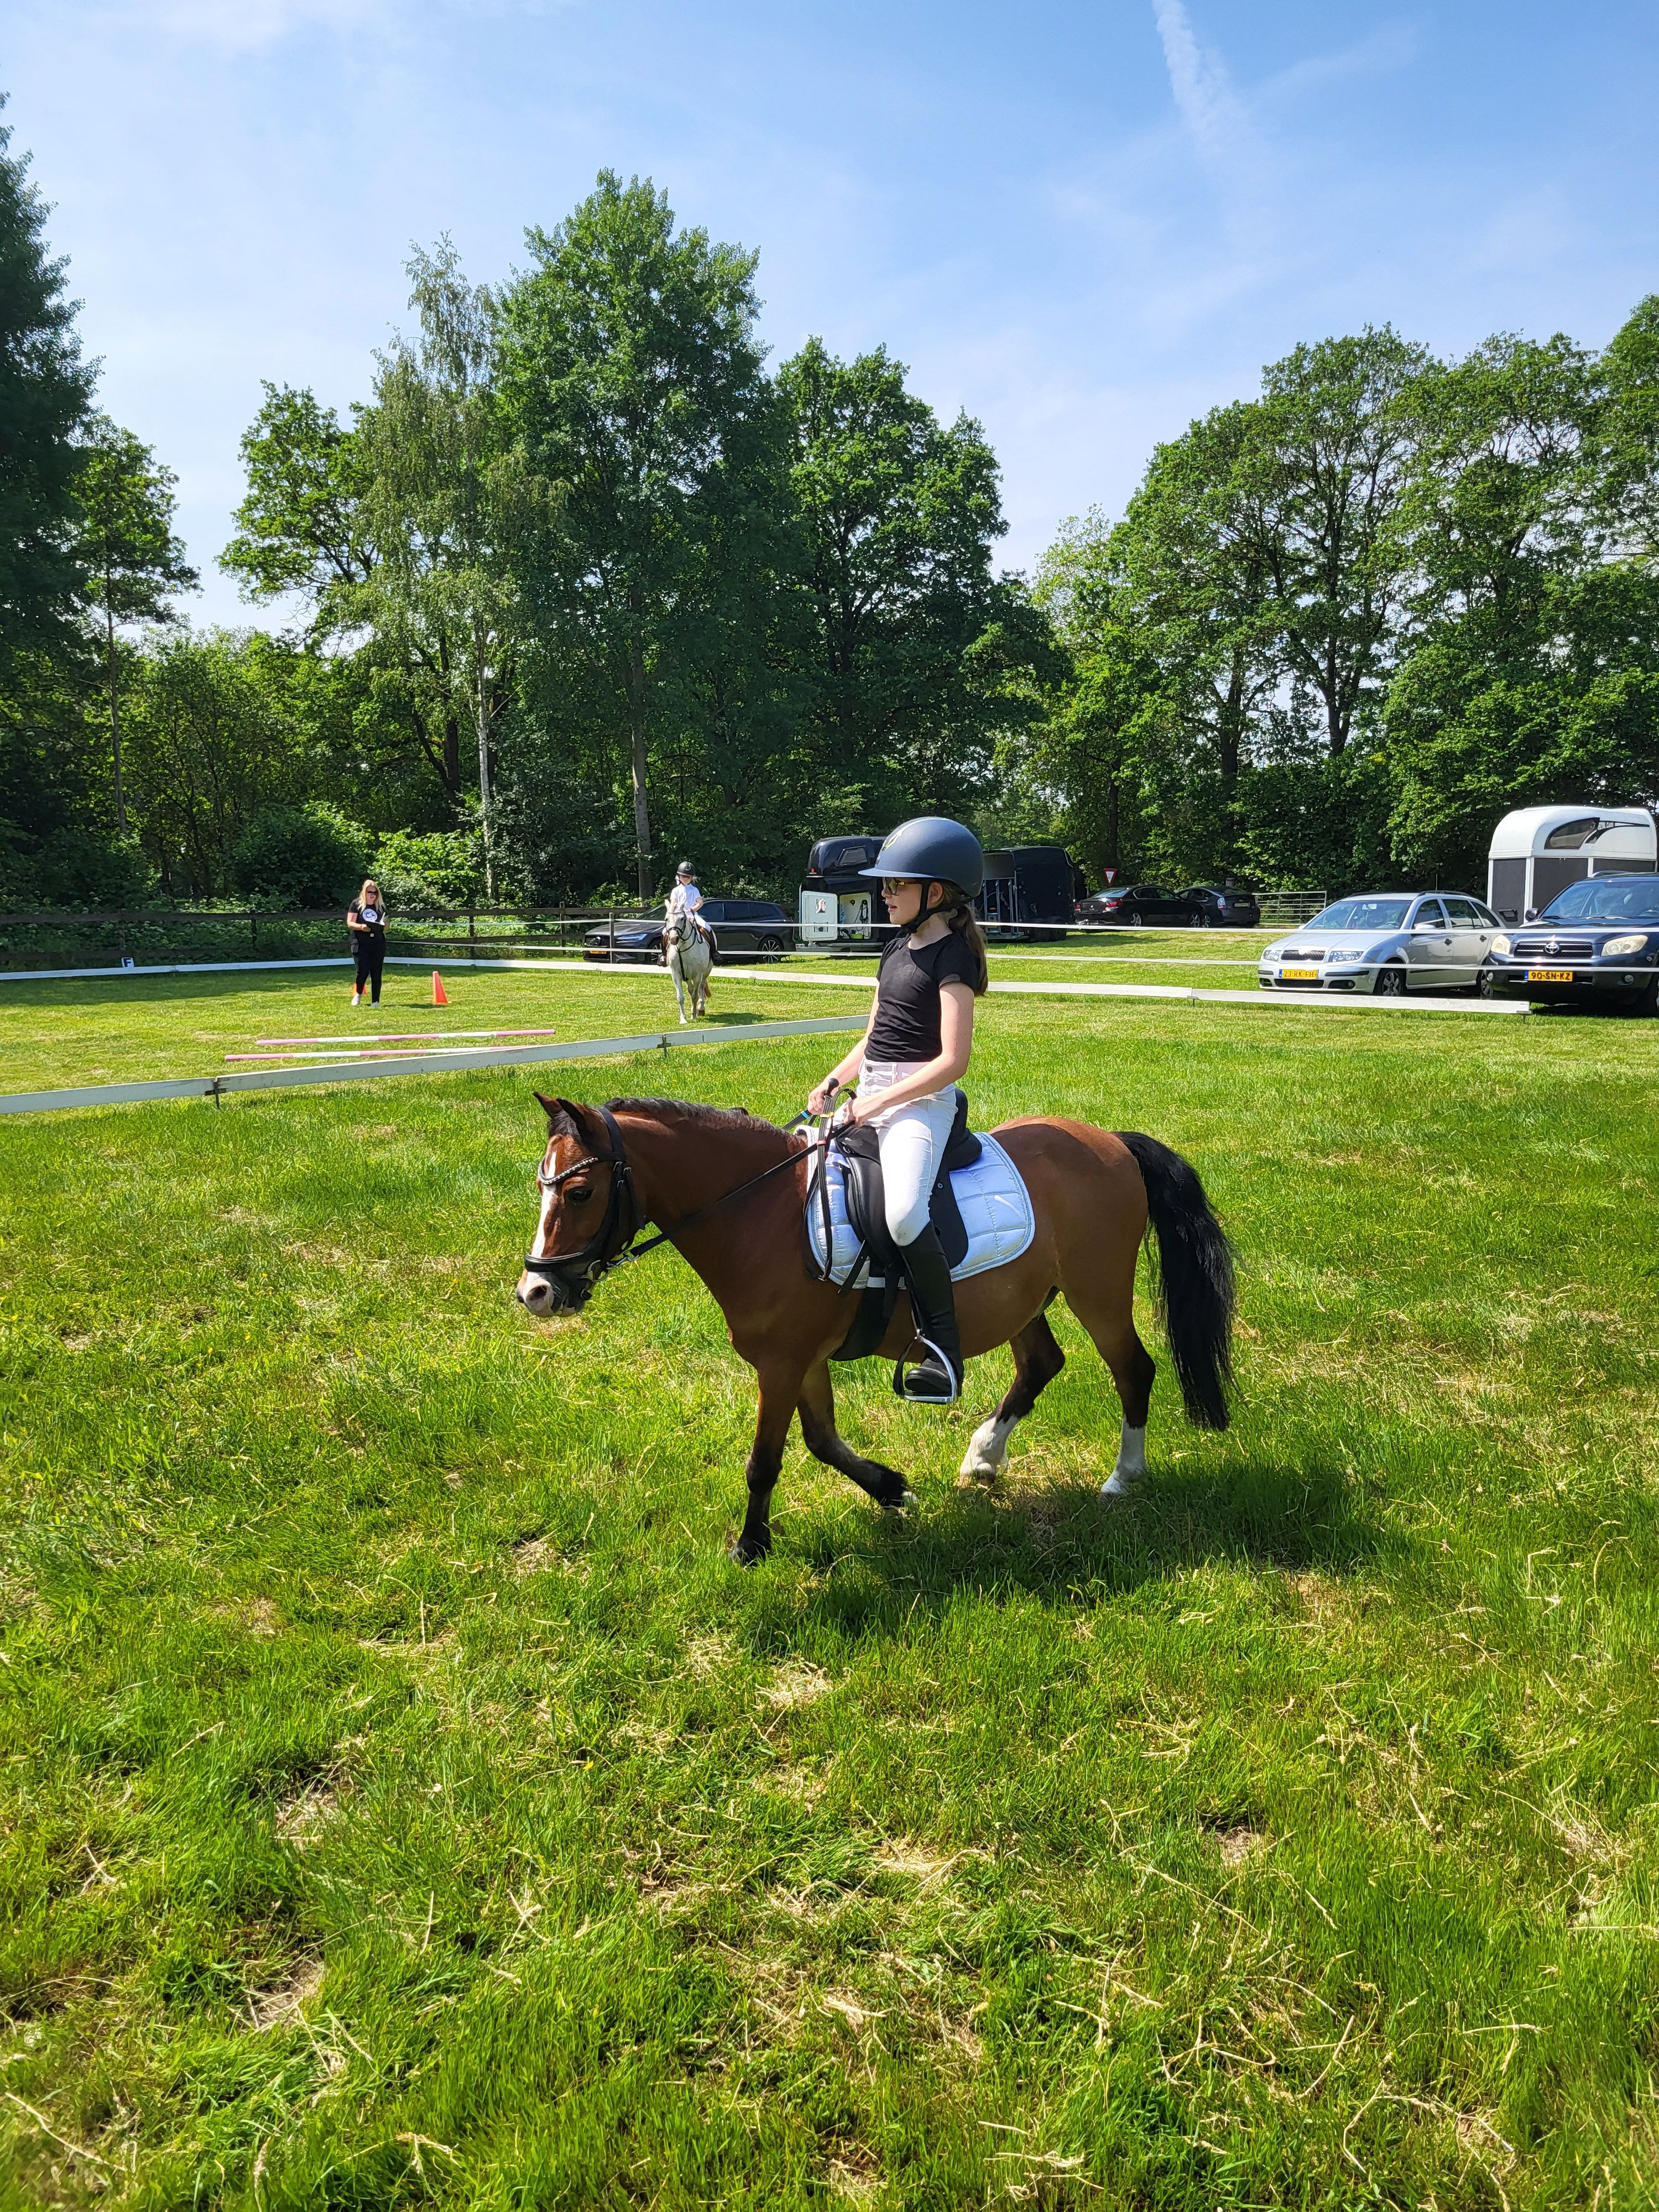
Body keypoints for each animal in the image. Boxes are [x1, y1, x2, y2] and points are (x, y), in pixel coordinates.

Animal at [515, 1096, 1235, 1564]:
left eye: (578, 1193)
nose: (535, 1293)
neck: (761, 1212)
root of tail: (1111, 1141)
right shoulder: (802, 1361)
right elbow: (823, 1442)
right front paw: (892, 1488)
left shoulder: (781, 1363)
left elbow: (765, 1460)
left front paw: (750, 1547)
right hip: (1023, 1300)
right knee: (1040, 1364)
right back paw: (982, 1457)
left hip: (1099, 1293)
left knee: (1132, 1369)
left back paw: (1122, 1478)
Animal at [664, 913, 713, 1024]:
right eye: (667, 919)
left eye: (682, 919)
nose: (674, 939)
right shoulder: (676, 974)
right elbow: (681, 997)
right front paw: (683, 1019)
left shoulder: (698, 975)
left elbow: (695, 995)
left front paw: (694, 1015)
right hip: (687, 977)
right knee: (691, 989)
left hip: (705, 974)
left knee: (701, 987)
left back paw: (701, 1009)